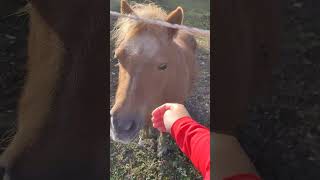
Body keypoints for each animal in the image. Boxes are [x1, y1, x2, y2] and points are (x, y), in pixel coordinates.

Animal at [110, 0, 198, 154]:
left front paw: (162, 148)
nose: (122, 126)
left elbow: (164, 130)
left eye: (163, 66)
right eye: (117, 56)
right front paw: (144, 137)